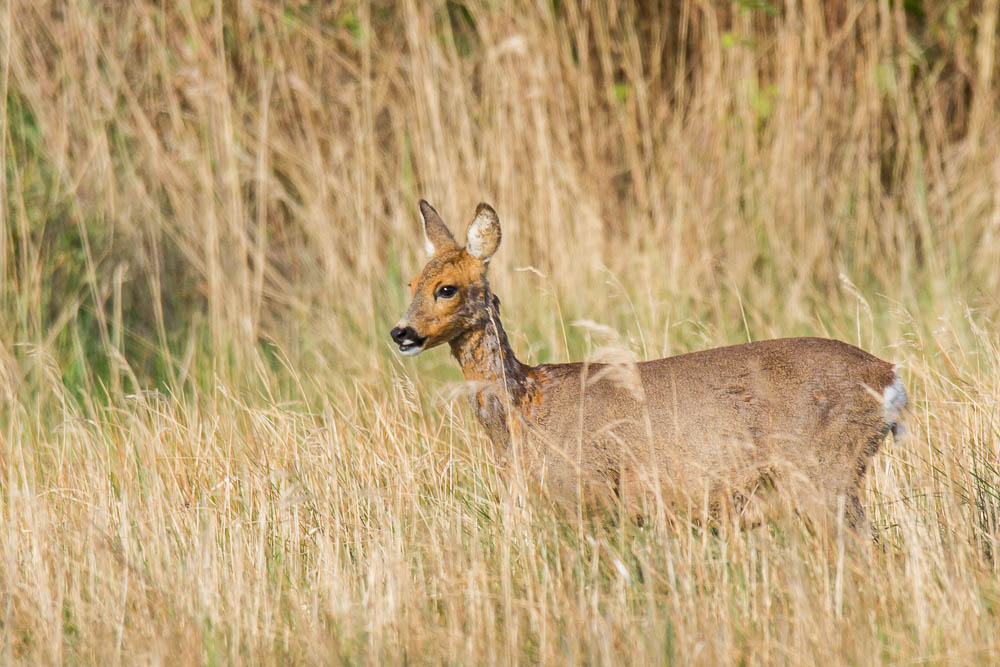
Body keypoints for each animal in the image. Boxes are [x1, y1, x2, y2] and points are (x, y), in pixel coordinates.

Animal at [390, 200, 908, 532]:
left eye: (447, 288)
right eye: (412, 283)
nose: (401, 332)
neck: (526, 405)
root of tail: (890, 379)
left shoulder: (590, 490)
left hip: (823, 470)